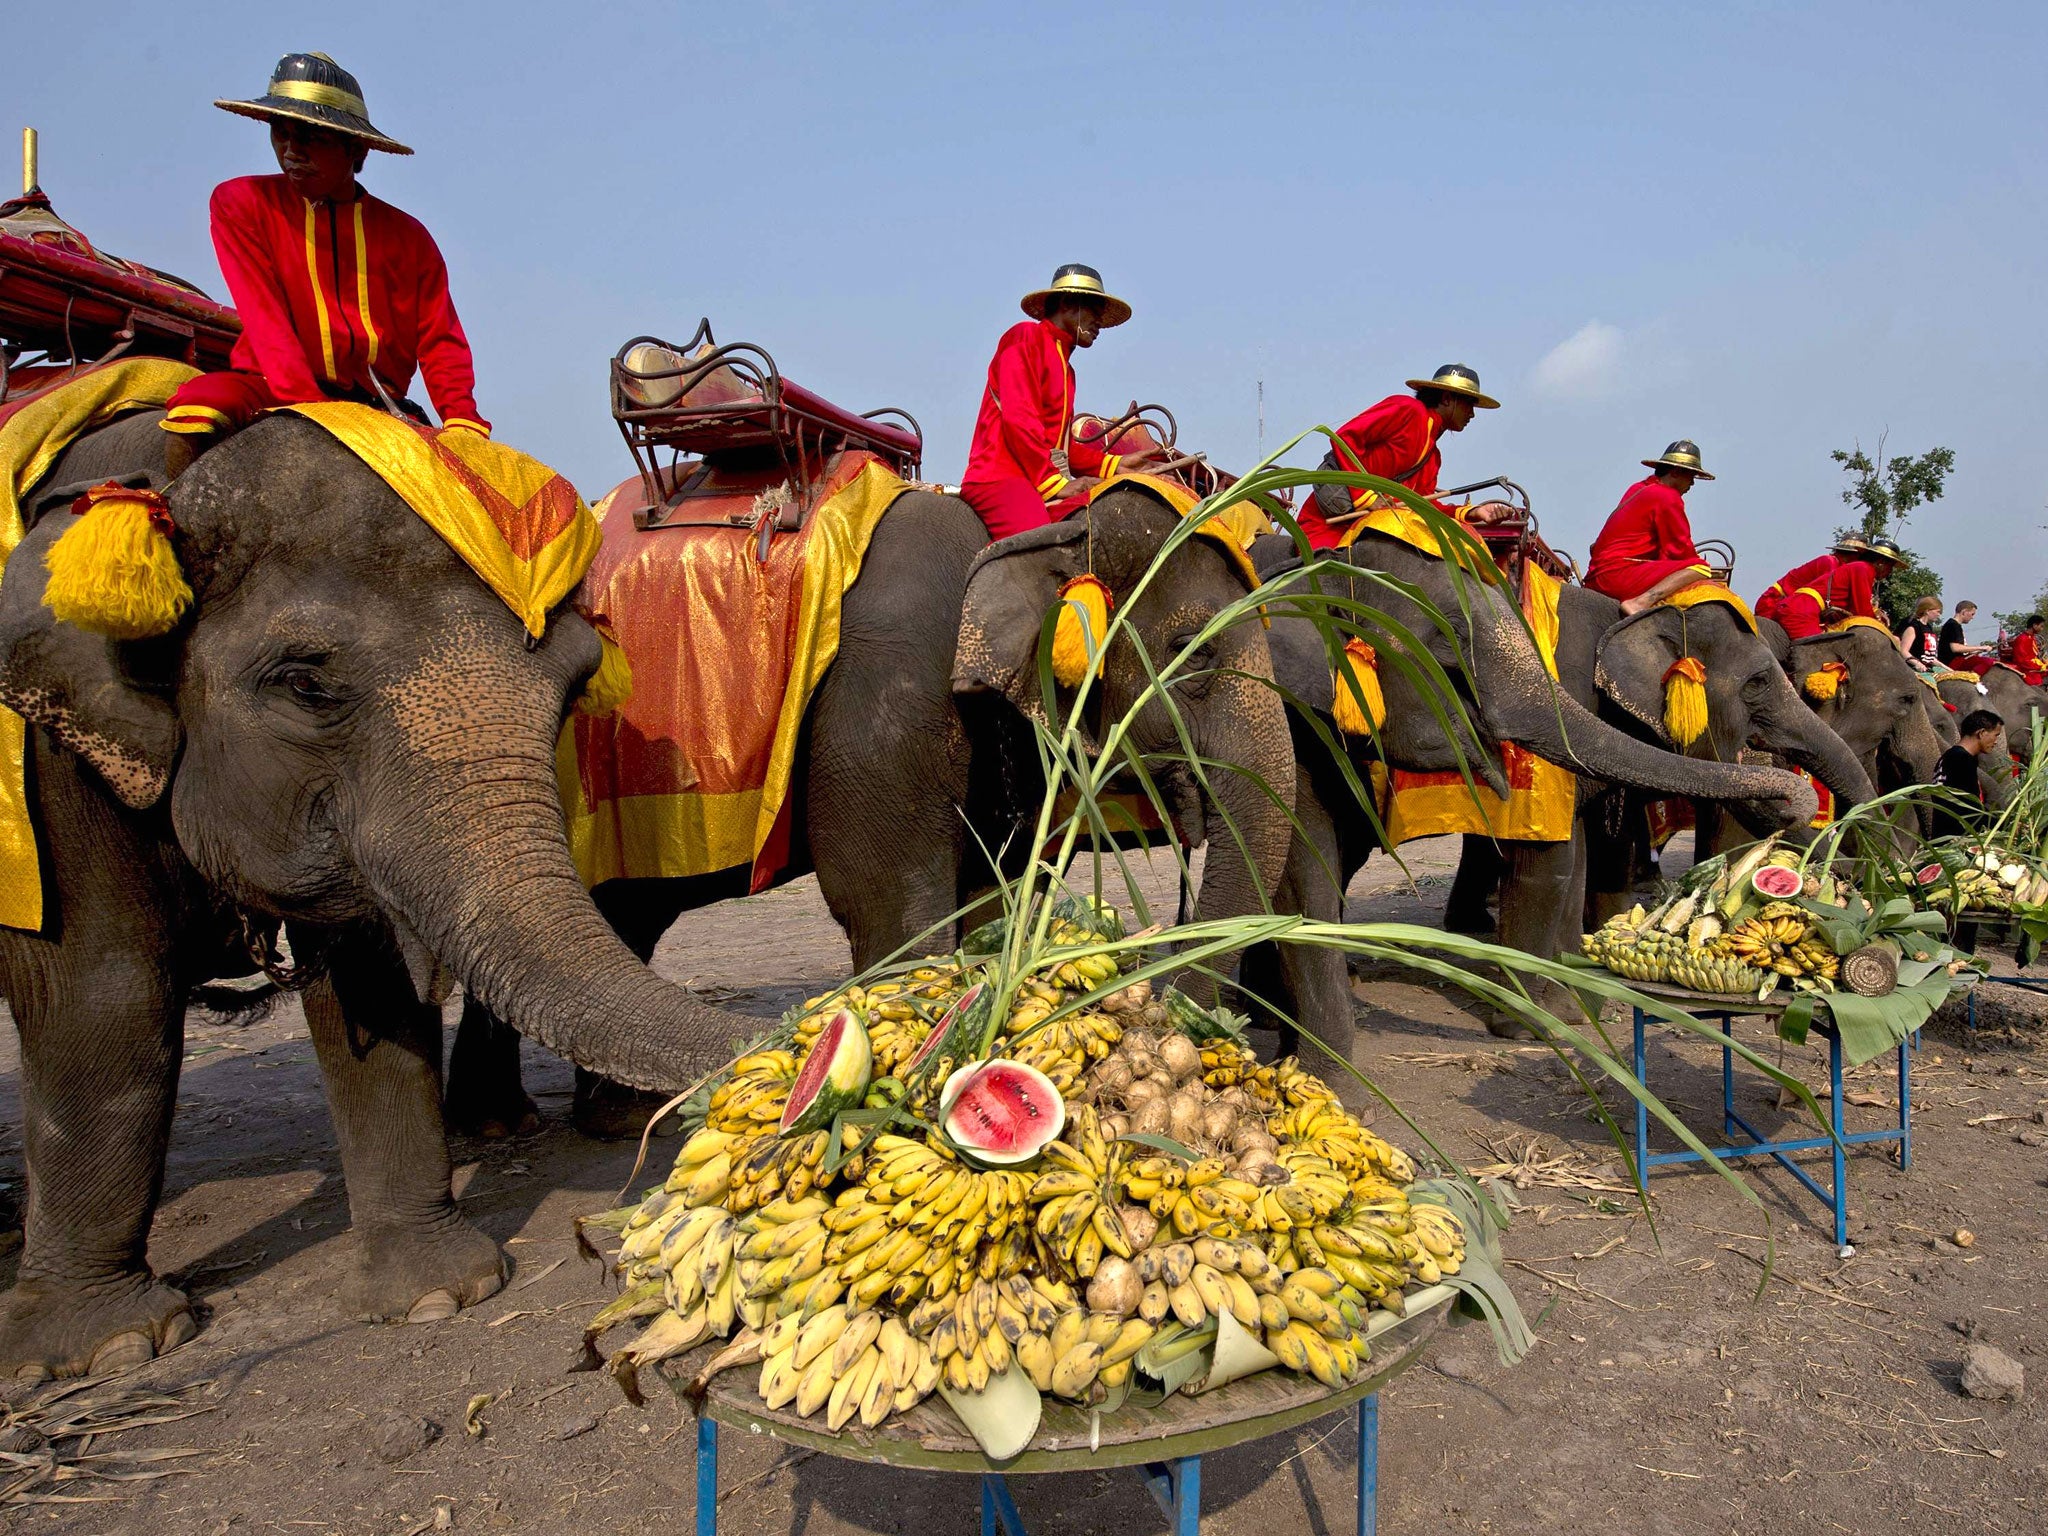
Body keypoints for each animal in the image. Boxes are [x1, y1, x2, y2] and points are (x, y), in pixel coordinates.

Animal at [0, 410, 766, 1379]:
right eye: (303, 684)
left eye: (577, 680)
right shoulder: (43, 760)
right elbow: (100, 991)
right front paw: (106, 1351)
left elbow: (370, 983)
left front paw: (438, 1295)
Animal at [444, 482, 1296, 1138]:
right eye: (1196, 655)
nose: (1191, 1030)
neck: (1029, 533)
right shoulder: (882, 703)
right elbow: (892, 911)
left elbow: (986, 904)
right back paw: (526, 1124)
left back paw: (569, 1120)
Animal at [1243, 532, 1870, 1051]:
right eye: (1759, 683)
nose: (1793, 798)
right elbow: (1550, 857)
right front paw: (1530, 1029)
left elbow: (1580, 854)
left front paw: (1573, 1008)